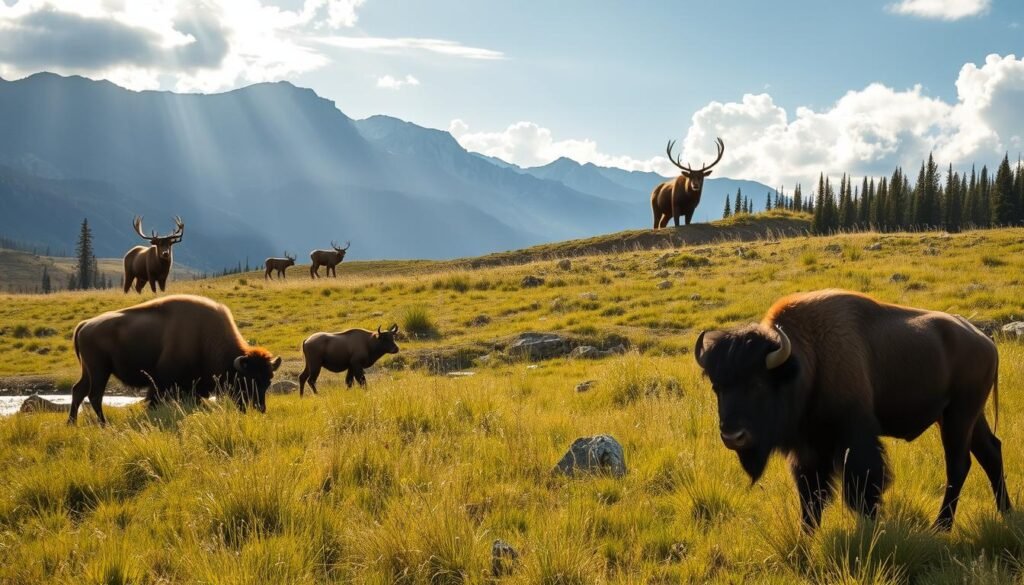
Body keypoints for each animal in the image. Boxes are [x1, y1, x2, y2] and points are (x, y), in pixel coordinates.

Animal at [69, 294, 282, 425]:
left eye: (268, 382)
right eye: (246, 380)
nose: (259, 409)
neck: (204, 337)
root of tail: (85, 324)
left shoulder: (193, 388)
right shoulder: (161, 383)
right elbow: (153, 401)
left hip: (89, 371)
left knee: (78, 391)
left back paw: (72, 423)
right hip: (99, 370)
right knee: (94, 395)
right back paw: (103, 424)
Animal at [694, 289, 1009, 532]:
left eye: (757, 383)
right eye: (717, 387)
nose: (733, 436)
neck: (808, 360)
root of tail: (985, 340)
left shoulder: (854, 437)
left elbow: (863, 486)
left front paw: (870, 528)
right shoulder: (808, 448)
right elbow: (811, 495)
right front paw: (807, 534)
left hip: (959, 415)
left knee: (958, 464)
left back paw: (941, 527)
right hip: (966, 417)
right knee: (990, 452)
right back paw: (1006, 512)